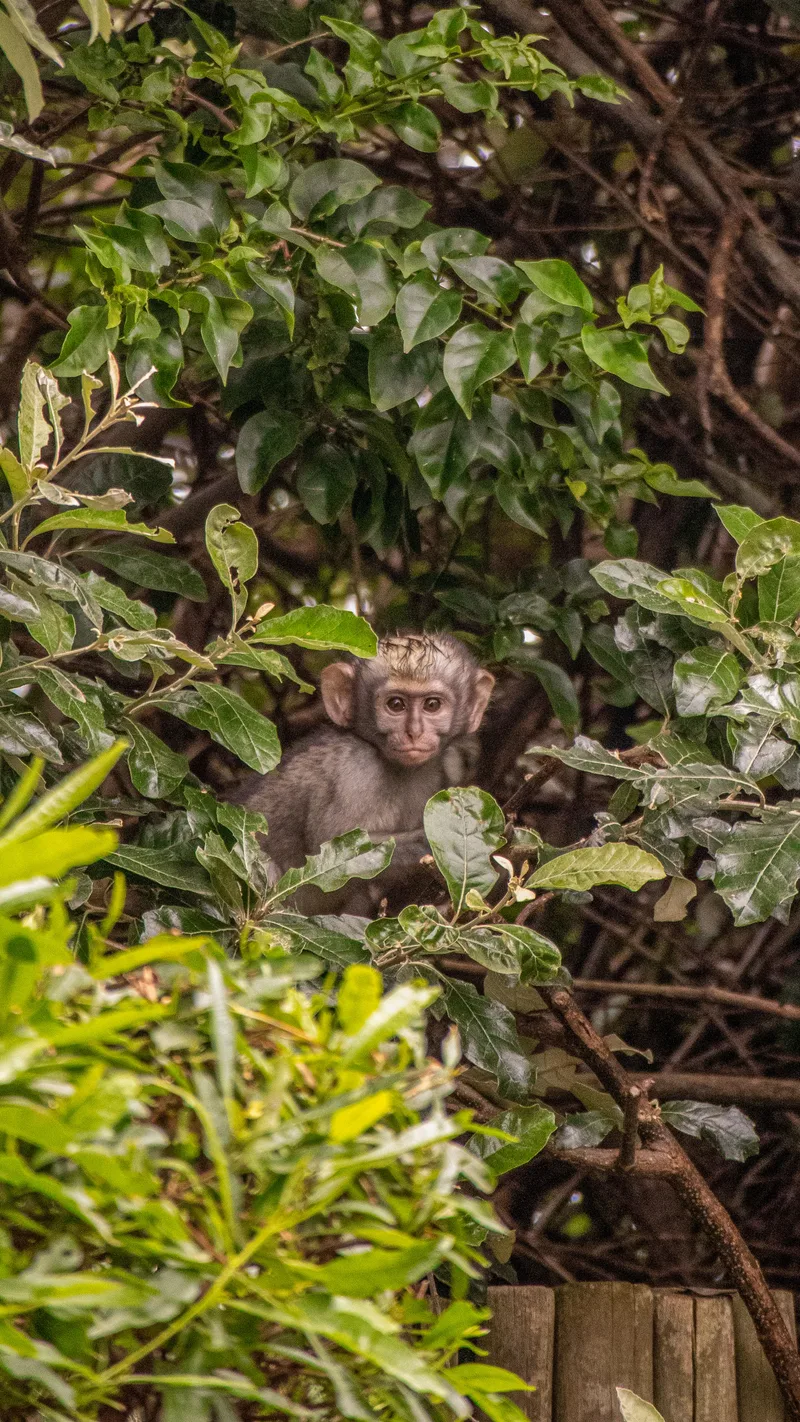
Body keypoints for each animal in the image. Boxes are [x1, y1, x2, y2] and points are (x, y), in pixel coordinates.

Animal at [234, 631, 495, 914]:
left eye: (432, 705)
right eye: (395, 704)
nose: (413, 732)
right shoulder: (354, 769)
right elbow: (331, 847)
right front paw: (436, 842)